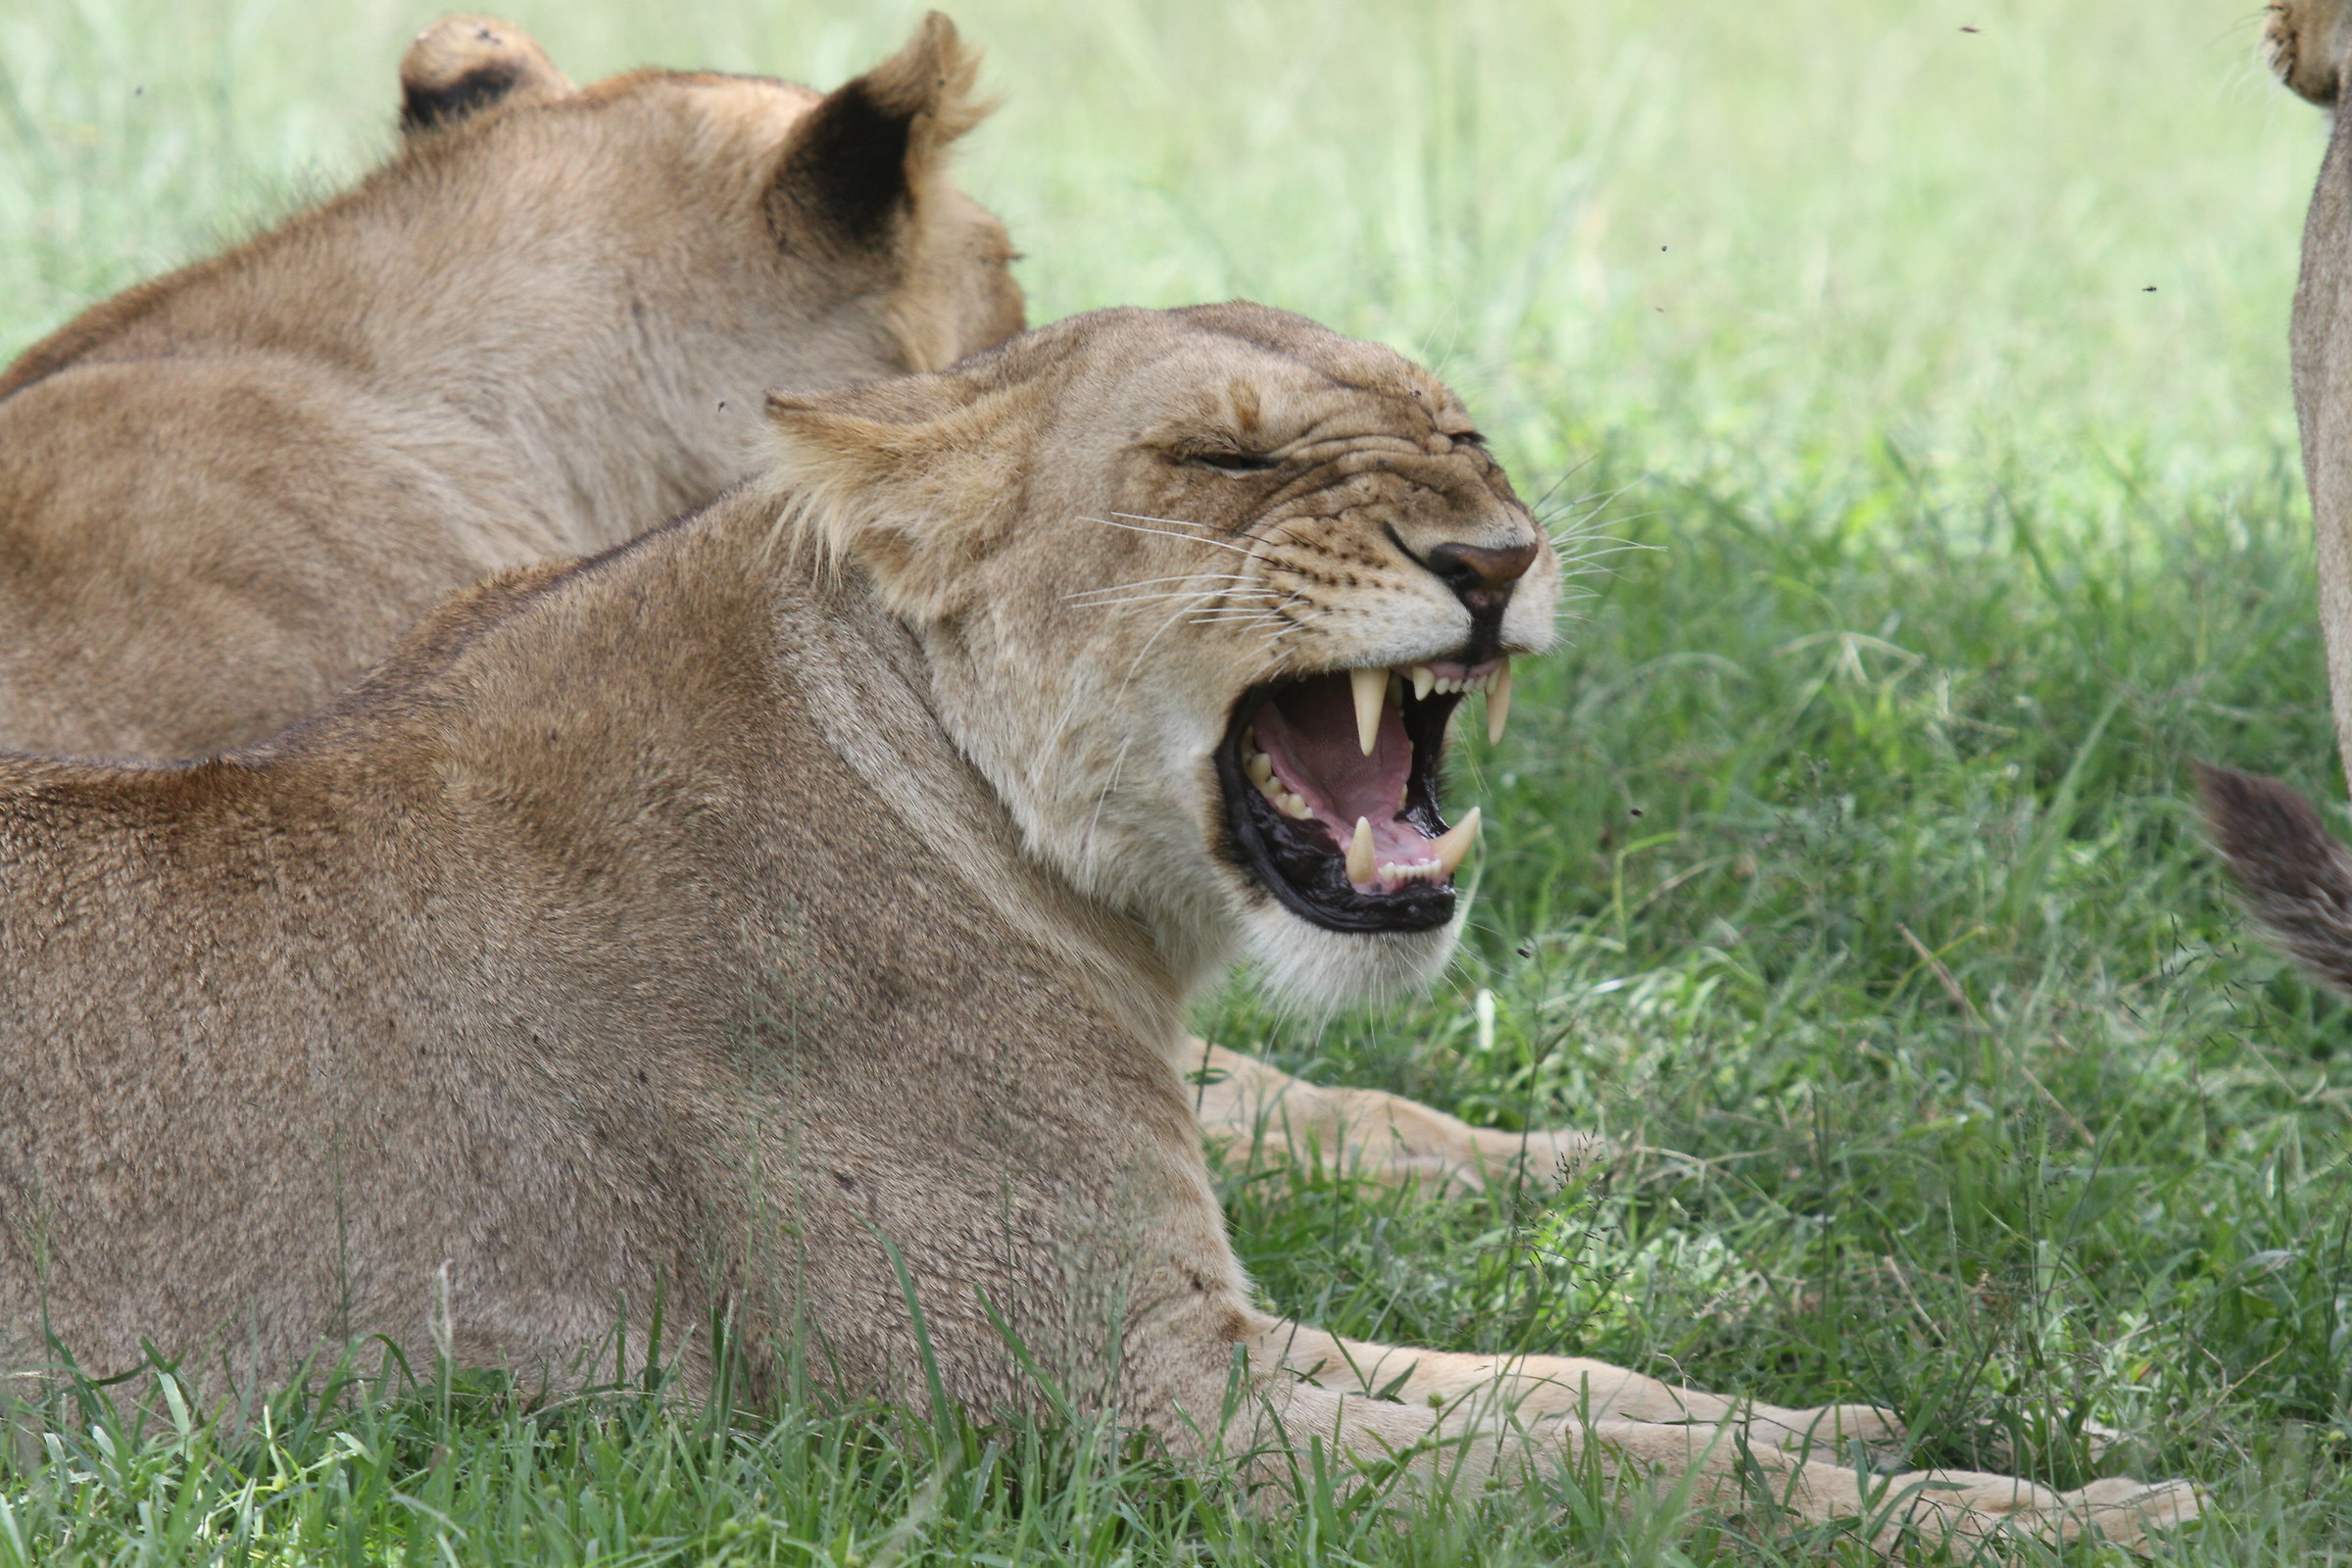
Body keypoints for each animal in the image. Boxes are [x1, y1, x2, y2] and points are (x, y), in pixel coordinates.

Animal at [0, 301, 2198, 1550]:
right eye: (1222, 456)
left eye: (1467, 437)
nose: (1497, 558)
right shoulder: (1106, 1415)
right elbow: (1617, 1481)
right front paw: (2074, 1514)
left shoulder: (1199, 1324)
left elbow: (1575, 1386)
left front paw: (1849, 1408)